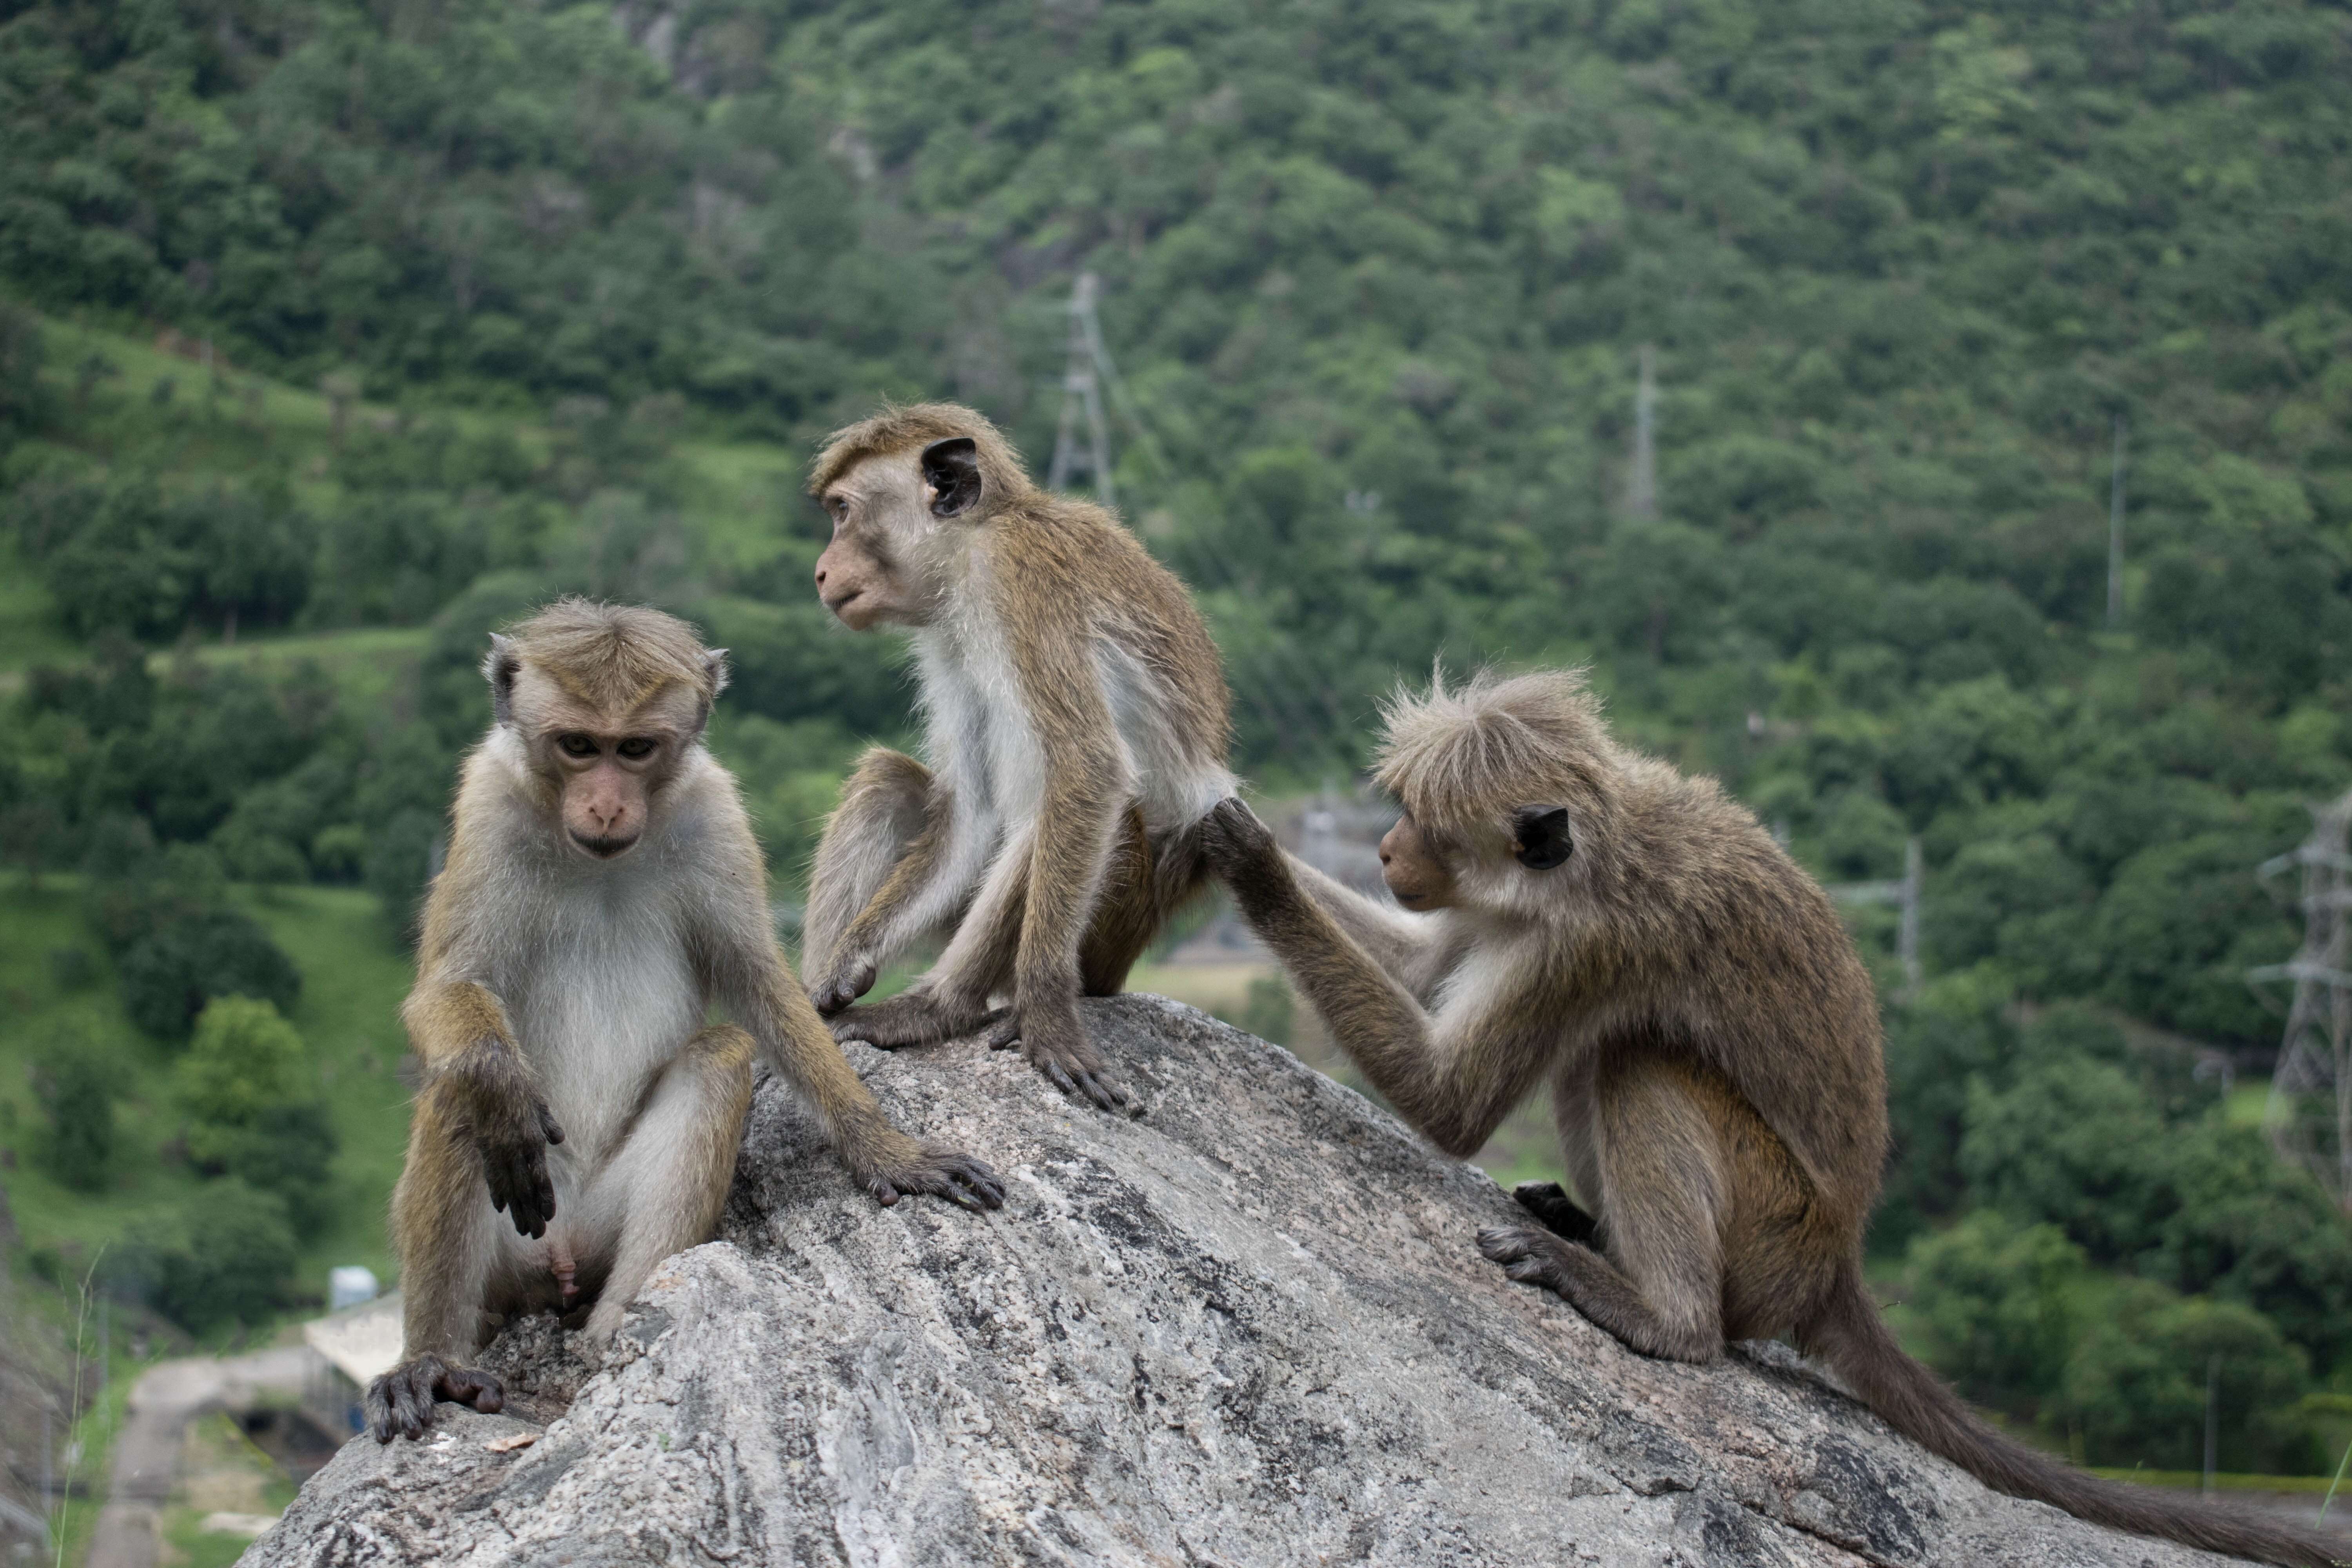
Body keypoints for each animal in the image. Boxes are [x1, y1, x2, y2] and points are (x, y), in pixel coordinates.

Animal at [367, 602, 1002, 1448]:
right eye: (578, 745)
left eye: (635, 748)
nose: (607, 803)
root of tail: (559, 1259)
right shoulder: (487, 805)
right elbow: (449, 989)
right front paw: (498, 1084)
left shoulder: (714, 813)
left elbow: (758, 984)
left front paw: (885, 1147)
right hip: (516, 1241)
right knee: (457, 1088)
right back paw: (434, 1360)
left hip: (600, 1226)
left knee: (720, 1057)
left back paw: (616, 1327)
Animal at [800, 404, 1232, 1114]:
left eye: (842, 511)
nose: (820, 569)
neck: (973, 540)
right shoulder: (945, 632)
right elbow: (971, 810)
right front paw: (847, 961)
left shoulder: (1017, 578)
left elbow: (1088, 768)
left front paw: (1046, 1015)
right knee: (888, 783)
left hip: (1114, 925)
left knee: (1052, 813)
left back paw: (938, 1009)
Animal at [1204, 668, 2352, 1568]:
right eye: (1395, 814)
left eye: (1423, 826)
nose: (1386, 850)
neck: (1589, 855)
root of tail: (1835, 1262)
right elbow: (1417, 968)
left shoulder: (1585, 943)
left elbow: (1457, 1103)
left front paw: (1249, 864)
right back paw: (1598, 1234)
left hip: (1772, 1227)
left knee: (1633, 1058)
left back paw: (1662, 1314)